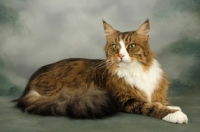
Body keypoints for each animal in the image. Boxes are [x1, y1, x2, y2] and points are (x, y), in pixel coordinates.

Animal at [14, 19, 188, 124]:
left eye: (131, 46)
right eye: (115, 46)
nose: (121, 55)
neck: (135, 70)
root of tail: (30, 85)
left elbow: (160, 102)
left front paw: (174, 107)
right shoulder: (125, 100)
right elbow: (150, 106)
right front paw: (175, 114)